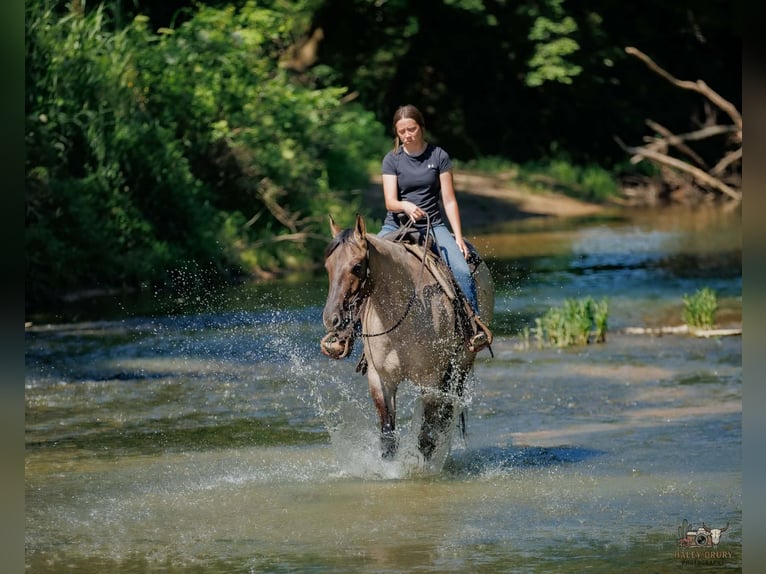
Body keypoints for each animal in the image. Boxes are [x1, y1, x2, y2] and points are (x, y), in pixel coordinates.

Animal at [320, 214, 494, 461]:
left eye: (356, 266)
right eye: (328, 266)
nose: (331, 319)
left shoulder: (431, 379)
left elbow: (426, 439)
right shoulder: (380, 379)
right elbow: (388, 439)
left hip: (461, 365)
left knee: (446, 415)